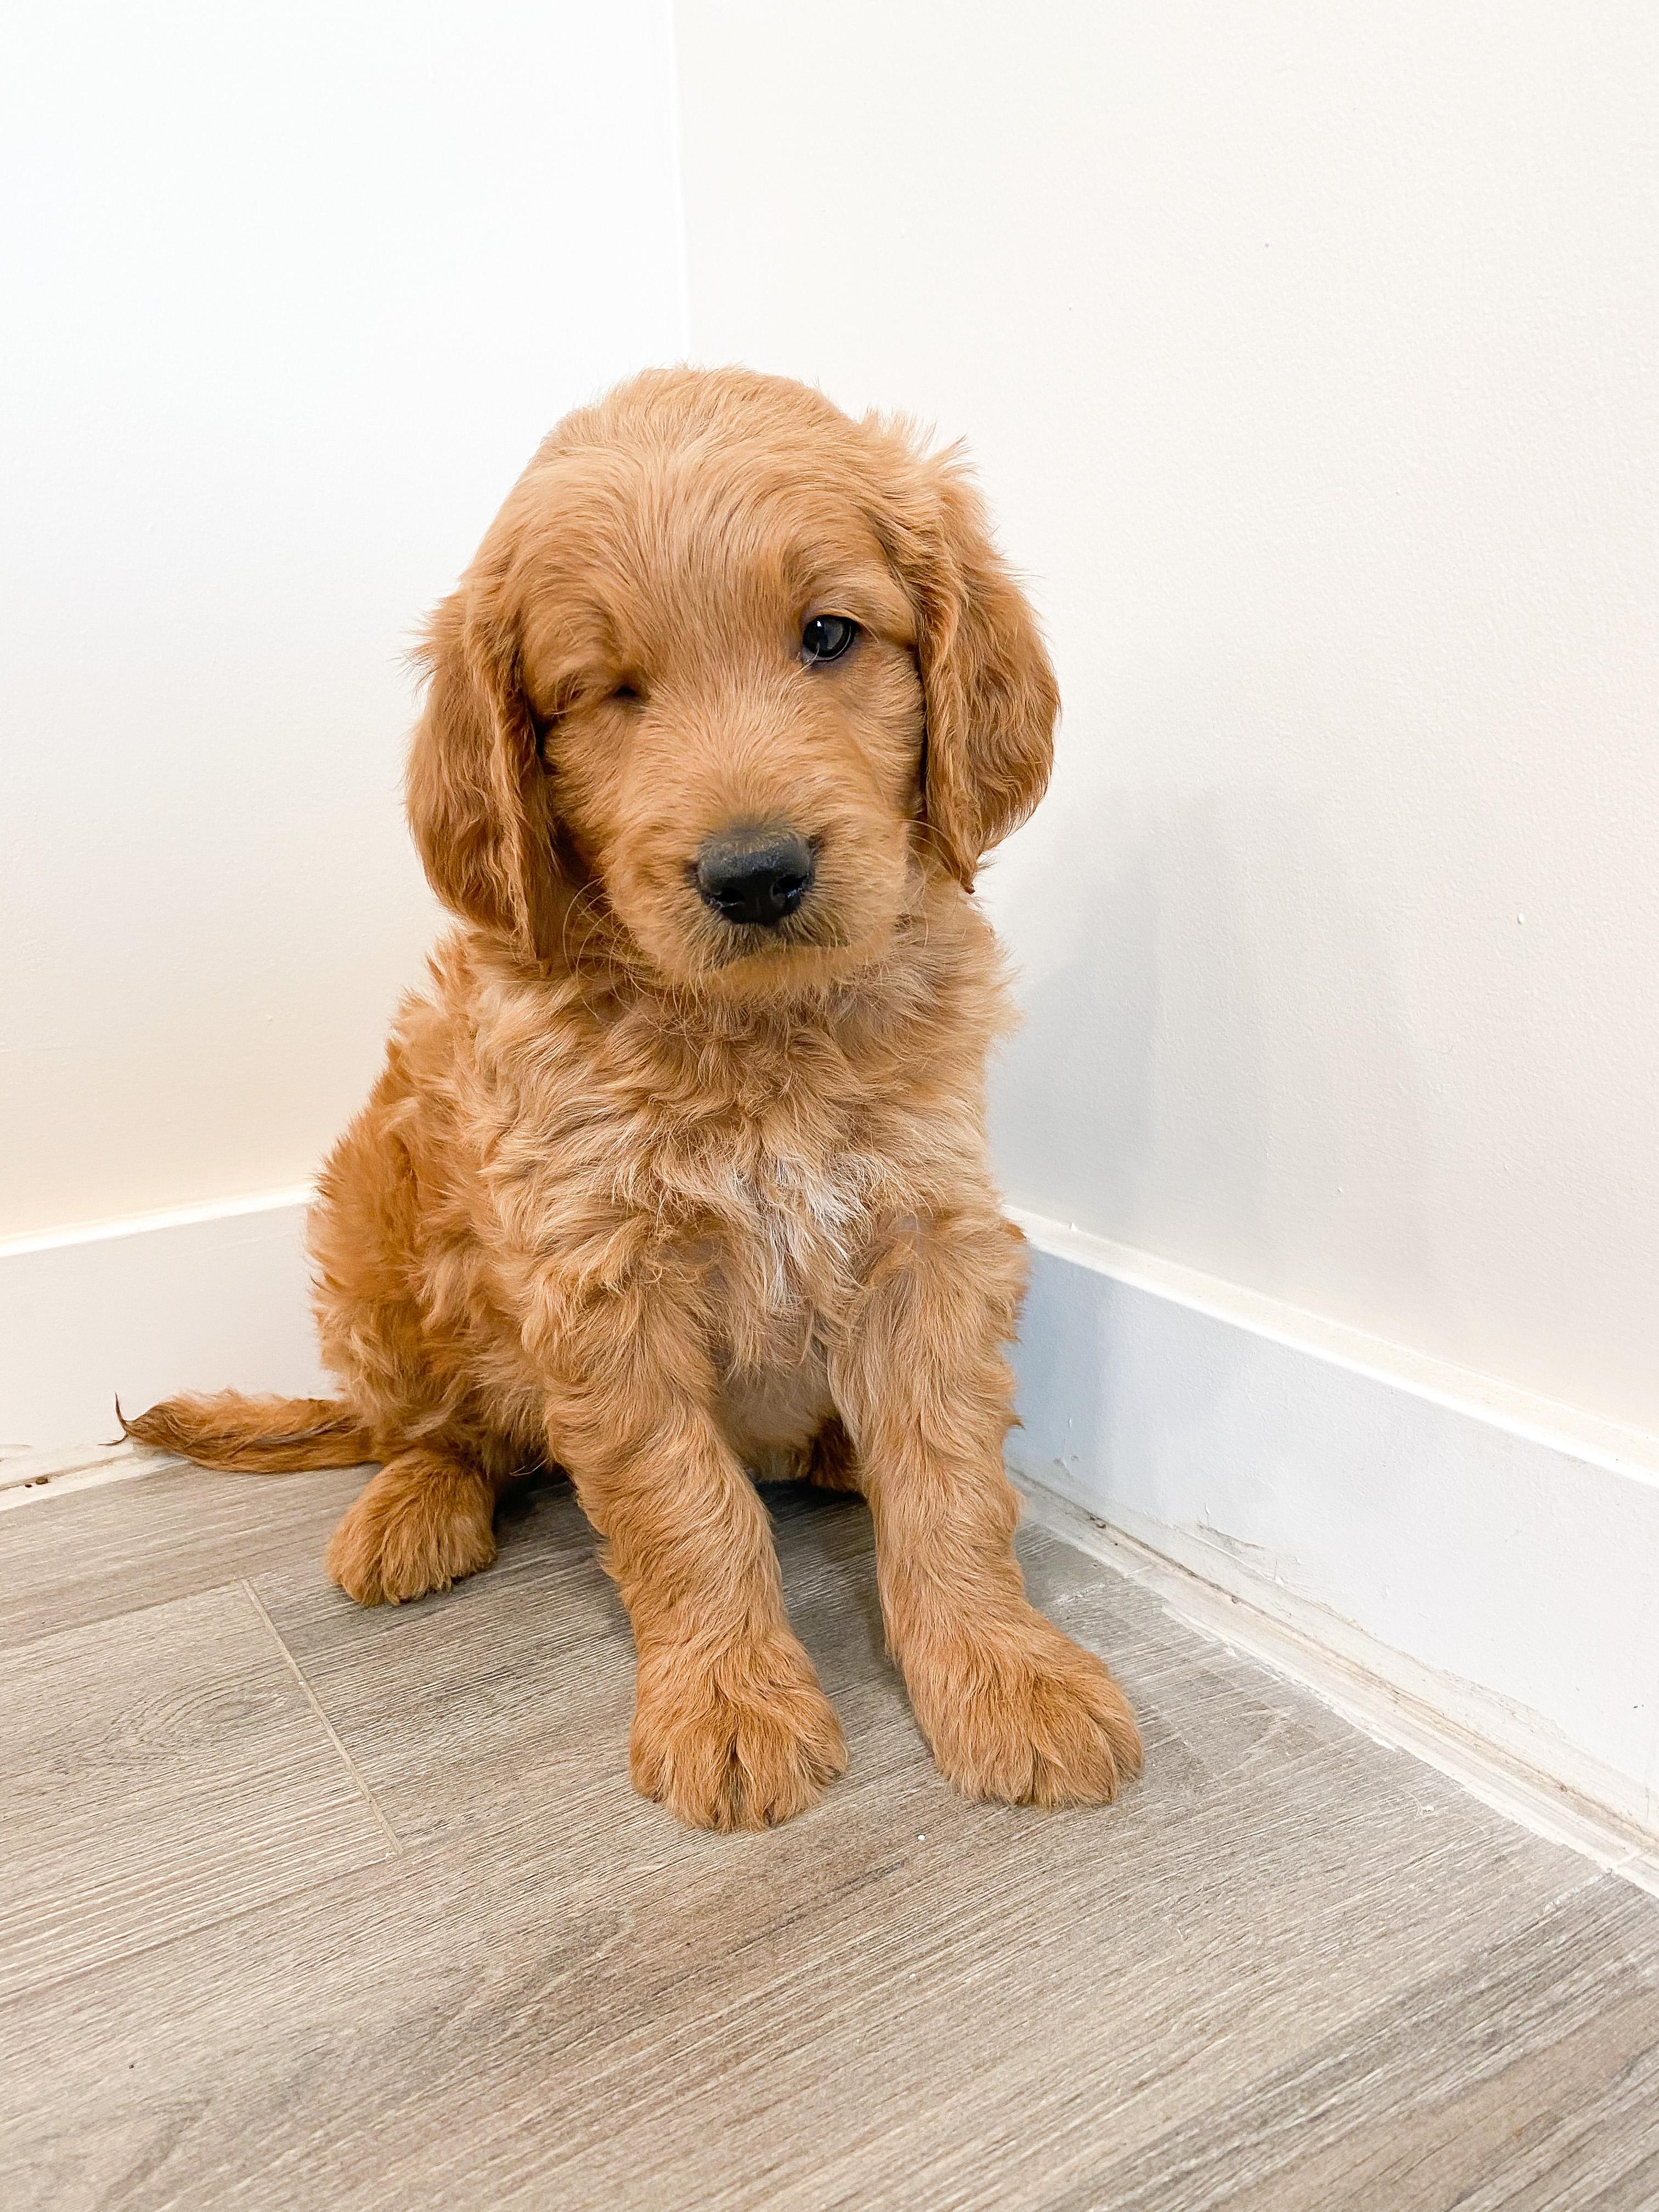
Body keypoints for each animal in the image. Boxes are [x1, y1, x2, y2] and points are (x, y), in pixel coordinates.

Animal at [128, 367, 1142, 1830]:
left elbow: (950, 1479)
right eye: (605, 693)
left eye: (829, 635)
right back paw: (411, 1513)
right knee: (434, 1431)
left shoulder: (926, 1232)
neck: (756, 1034)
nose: (756, 873)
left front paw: (1005, 1675)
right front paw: (728, 1705)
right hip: (368, 1230)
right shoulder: (600, 1276)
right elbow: (682, 1501)